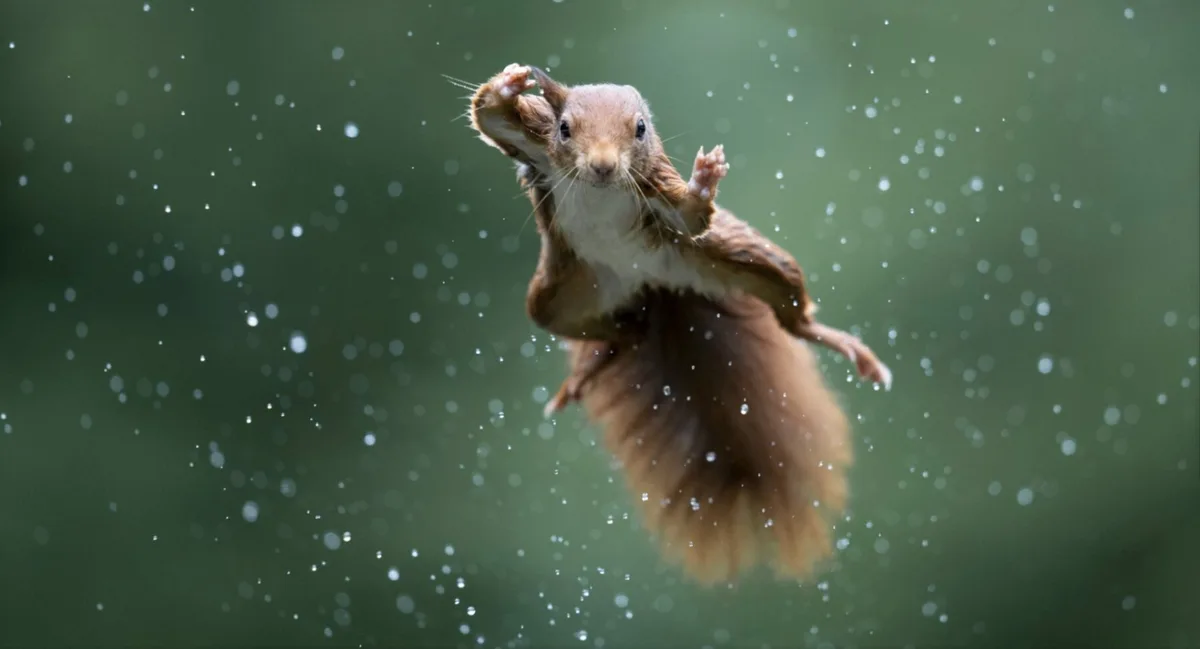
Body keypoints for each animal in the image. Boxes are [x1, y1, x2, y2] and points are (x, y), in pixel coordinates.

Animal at [464, 64, 893, 584]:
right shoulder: (535, 143)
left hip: (743, 259)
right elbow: (489, 116)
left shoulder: (656, 191)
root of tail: (653, 286)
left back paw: (849, 348)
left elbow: (691, 215)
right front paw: (510, 83)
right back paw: (588, 371)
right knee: (621, 332)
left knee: (791, 315)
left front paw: (704, 179)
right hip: (559, 296)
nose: (603, 166)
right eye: (565, 128)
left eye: (640, 129)